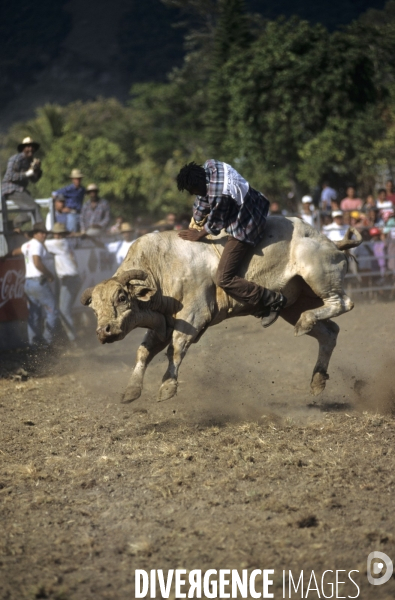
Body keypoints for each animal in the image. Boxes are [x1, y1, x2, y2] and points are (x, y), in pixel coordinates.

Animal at [80, 216, 362, 404]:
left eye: (122, 297)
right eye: (94, 309)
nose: (104, 331)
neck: (161, 268)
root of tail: (332, 242)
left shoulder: (194, 315)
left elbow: (176, 348)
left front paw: (167, 387)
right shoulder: (164, 323)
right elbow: (143, 352)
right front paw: (131, 391)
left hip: (318, 275)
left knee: (342, 303)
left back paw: (306, 323)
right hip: (295, 303)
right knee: (329, 333)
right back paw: (317, 380)